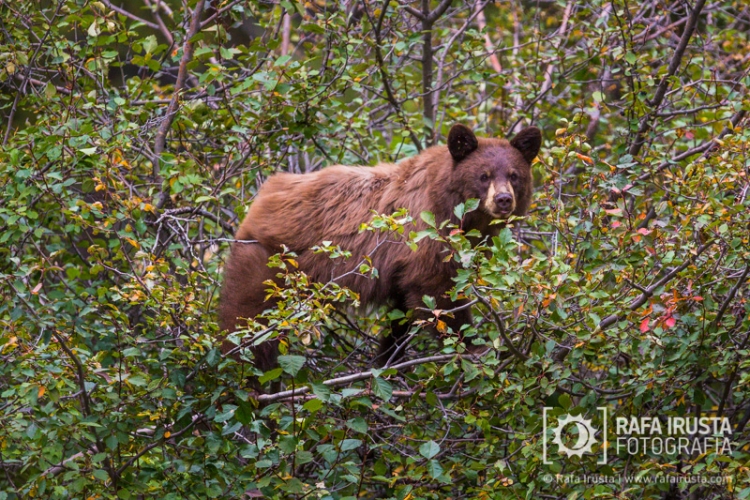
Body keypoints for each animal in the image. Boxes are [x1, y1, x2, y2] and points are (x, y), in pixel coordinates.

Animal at [219, 124, 541, 371]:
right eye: (484, 175)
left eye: (514, 175)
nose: (503, 200)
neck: (453, 205)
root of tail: (259, 201)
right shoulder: (427, 237)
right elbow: (438, 295)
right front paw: (476, 347)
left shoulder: (405, 267)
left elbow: (402, 314)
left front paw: (387, 362)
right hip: (266, 265)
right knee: (246, 327)